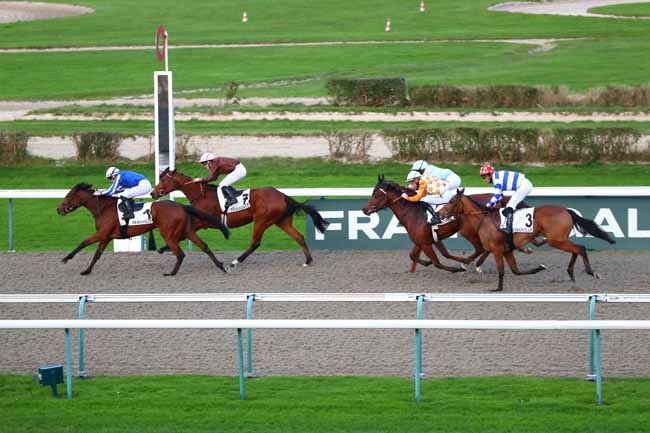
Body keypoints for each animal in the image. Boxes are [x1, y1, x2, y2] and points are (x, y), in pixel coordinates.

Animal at [57, 181, 230, 276]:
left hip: (168, 234)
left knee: (180, 254)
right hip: (188, 231)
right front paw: (86, 271)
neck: (103, 208)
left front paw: (66, 258)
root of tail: (181, 205)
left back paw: (171, 273)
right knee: (204, 247)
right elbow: (97, 255)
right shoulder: (106, 236)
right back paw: (221, 266)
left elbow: (83, 243)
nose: (59, 209)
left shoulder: (101, 233)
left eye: (68, 196)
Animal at [151, 168, 330, 266]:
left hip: (262, 220)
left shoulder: (204, 221)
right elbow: (184, 233)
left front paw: (165, 247)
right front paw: (164, 247)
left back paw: (236, 261)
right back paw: (307, 261)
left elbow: (183, 233)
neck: (200, 195)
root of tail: (283, 196)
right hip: (281, 221)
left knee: (255, 242)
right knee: (299, 237)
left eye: (163, 179)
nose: (153, 193)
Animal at [440, 189, 612, 290]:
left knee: (580, 248)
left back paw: (591, 272)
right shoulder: (506, 250)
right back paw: (571, 273)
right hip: (559, 239)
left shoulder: (496, 249)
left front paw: (497, 288)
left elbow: (501, 270)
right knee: (576, 249)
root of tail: (565, 210)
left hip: (556, 240)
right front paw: (539, 267)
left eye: (451, 201)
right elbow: (516, 271)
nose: (440, 213)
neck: (483, 219)